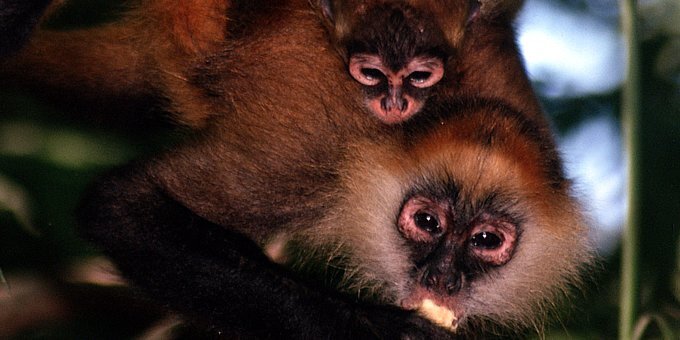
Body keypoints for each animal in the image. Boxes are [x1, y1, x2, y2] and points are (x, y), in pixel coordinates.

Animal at [0, 0, 592, 338]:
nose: (442, 278)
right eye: (426, 222)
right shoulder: (312, 152)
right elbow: (122, 206)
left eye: (486, 240)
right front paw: (382, 331)